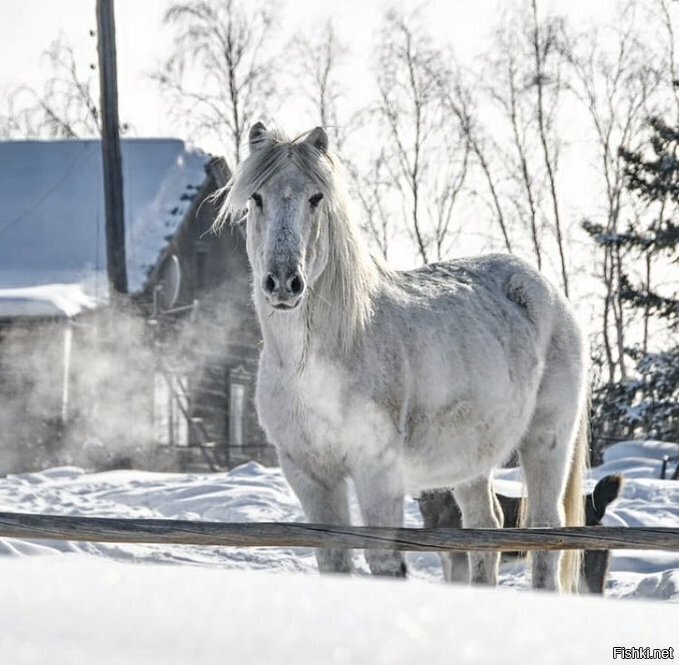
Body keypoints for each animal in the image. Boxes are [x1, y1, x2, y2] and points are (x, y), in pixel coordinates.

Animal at [215, 124, 588, 592]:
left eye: (316, 197)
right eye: (256, 197)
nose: (283, 282)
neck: (318, 365)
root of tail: (548, 291)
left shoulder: (378, 473)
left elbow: (385, 565)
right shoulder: (309, 474)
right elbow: (334, 562)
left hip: (547, 441)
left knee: (545, 534)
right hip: (472, 458)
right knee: (486, 529)